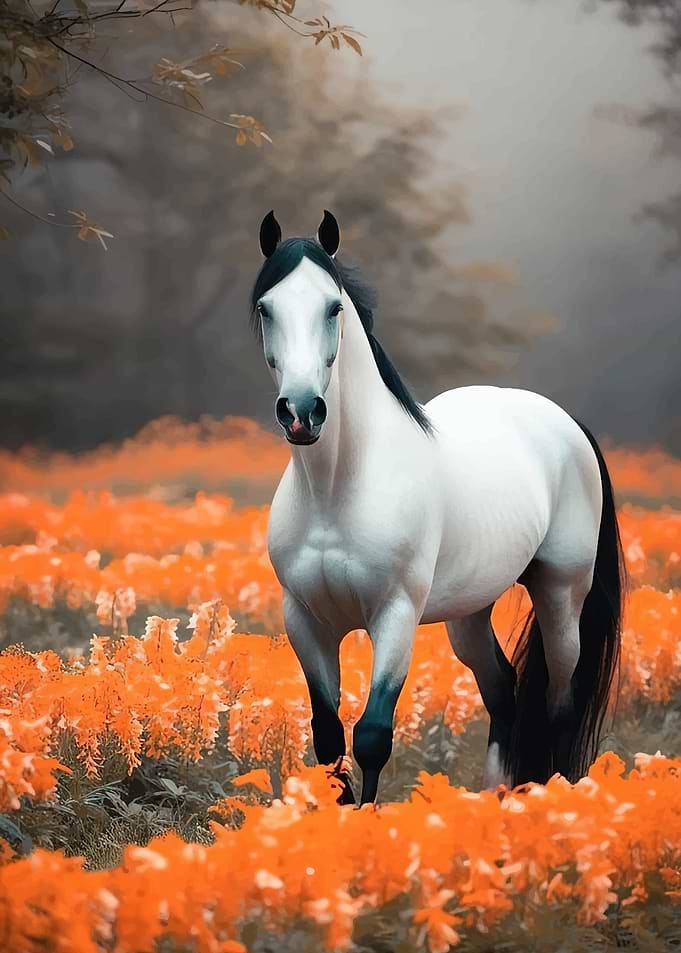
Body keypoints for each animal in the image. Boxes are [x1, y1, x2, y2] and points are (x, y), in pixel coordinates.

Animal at [251, 209, 625, 806]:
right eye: (266, 308)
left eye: (333, 307)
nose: (303, 411)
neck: (338, 488)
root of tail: (564, 422)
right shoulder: (306, 621)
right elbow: (329, 739)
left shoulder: (395, 615)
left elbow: (372, 736)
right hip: (470, 610)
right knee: (503, 691)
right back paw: (494, 803)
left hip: (562, 593)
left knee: (560, 705)